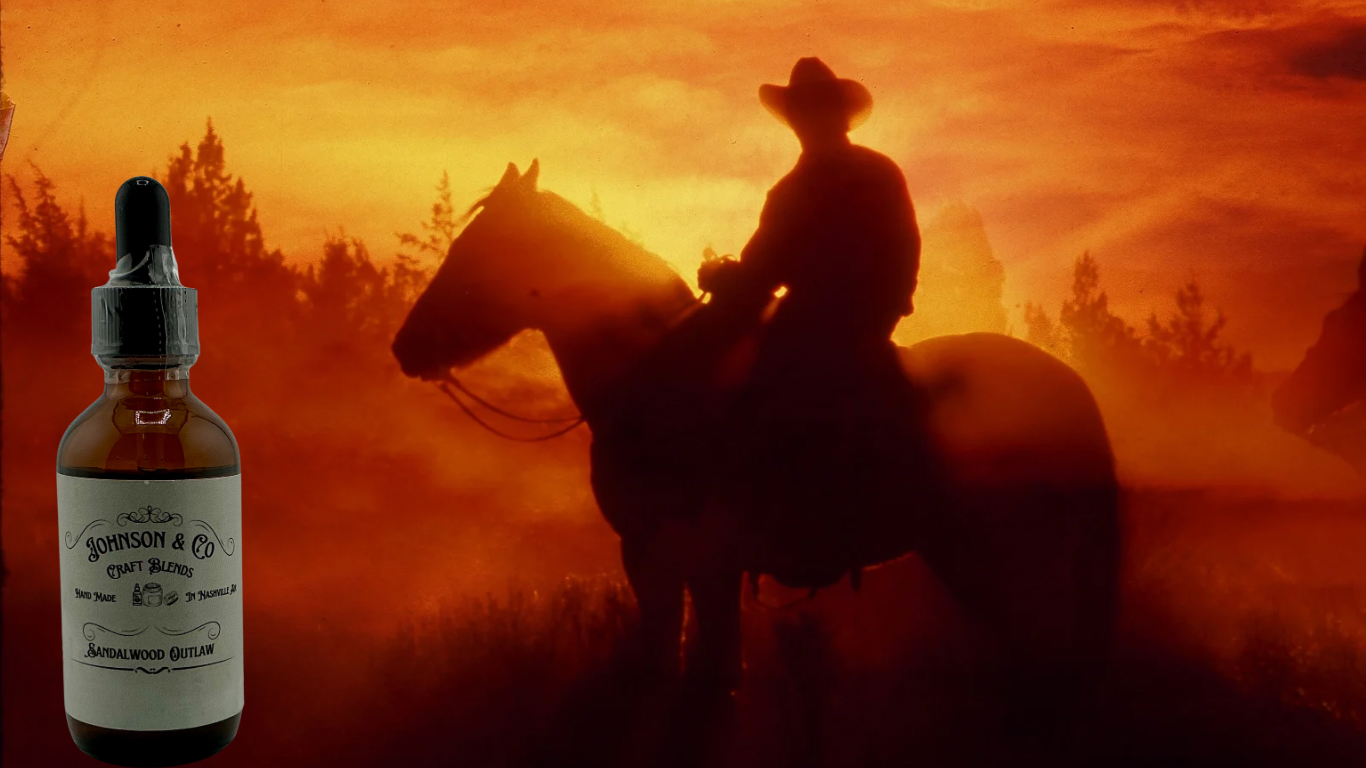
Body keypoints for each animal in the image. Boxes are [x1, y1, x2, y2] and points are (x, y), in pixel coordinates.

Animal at [392, 160, 1121, 754]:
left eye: (478, 251)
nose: (405, 346)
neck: (660, 373)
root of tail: (1076, 389)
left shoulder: (703, 555)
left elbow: (710, 679)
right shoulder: (653, 555)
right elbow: (675, 668)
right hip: (968, 554)